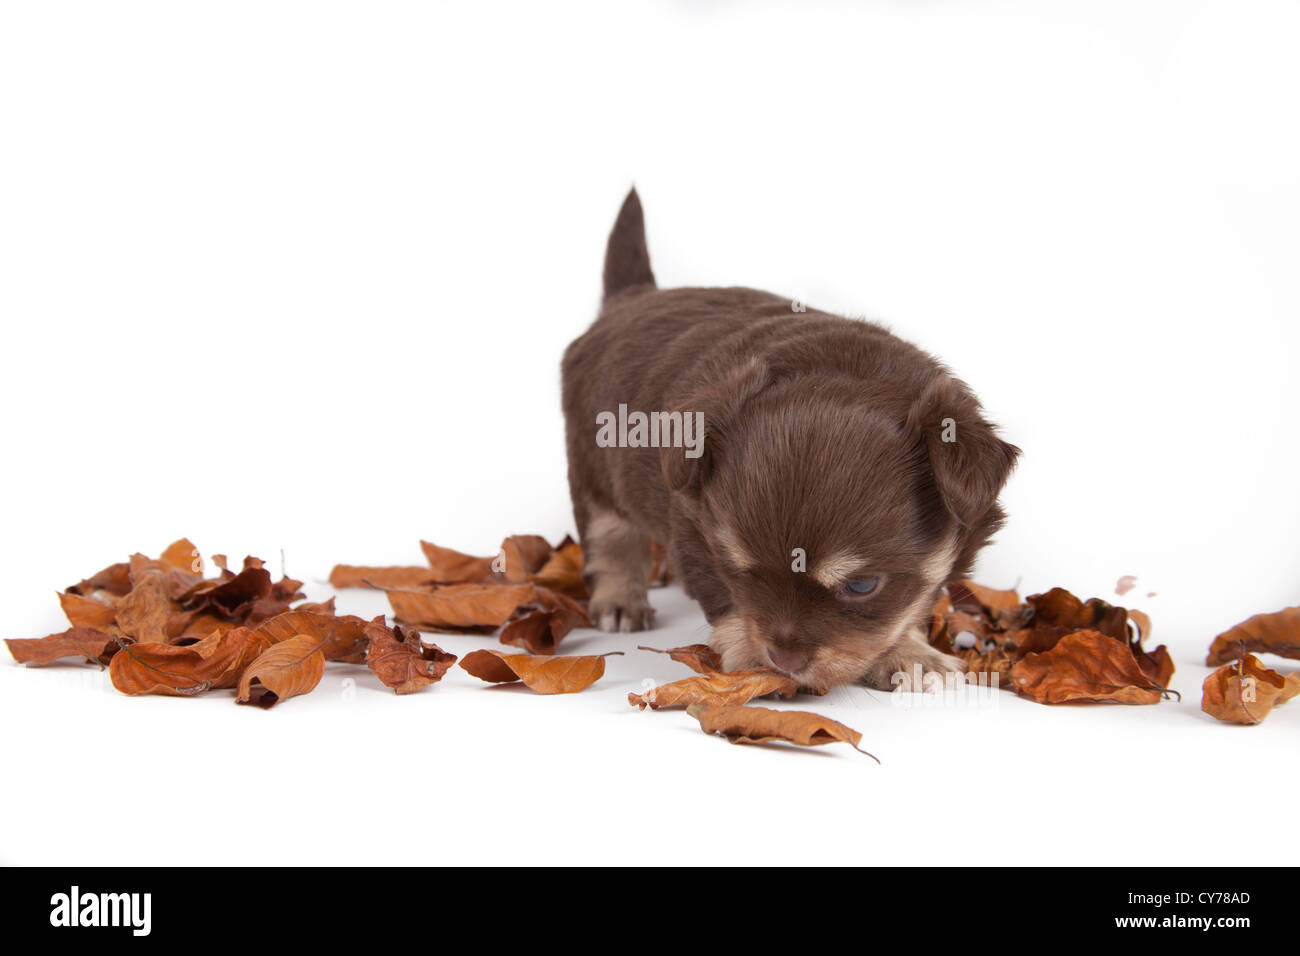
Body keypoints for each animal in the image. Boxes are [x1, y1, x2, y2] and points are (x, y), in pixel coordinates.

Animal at [564, 191, 1019, 691]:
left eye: (862, 586)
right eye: (740, 571)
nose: (783, 659)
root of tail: (630, 299)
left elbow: (909, 609)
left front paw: (911, 653)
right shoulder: (692, 525)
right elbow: (720, 595)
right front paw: (749, 654)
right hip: (591, 465)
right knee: (608, 534)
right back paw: (620, 600)